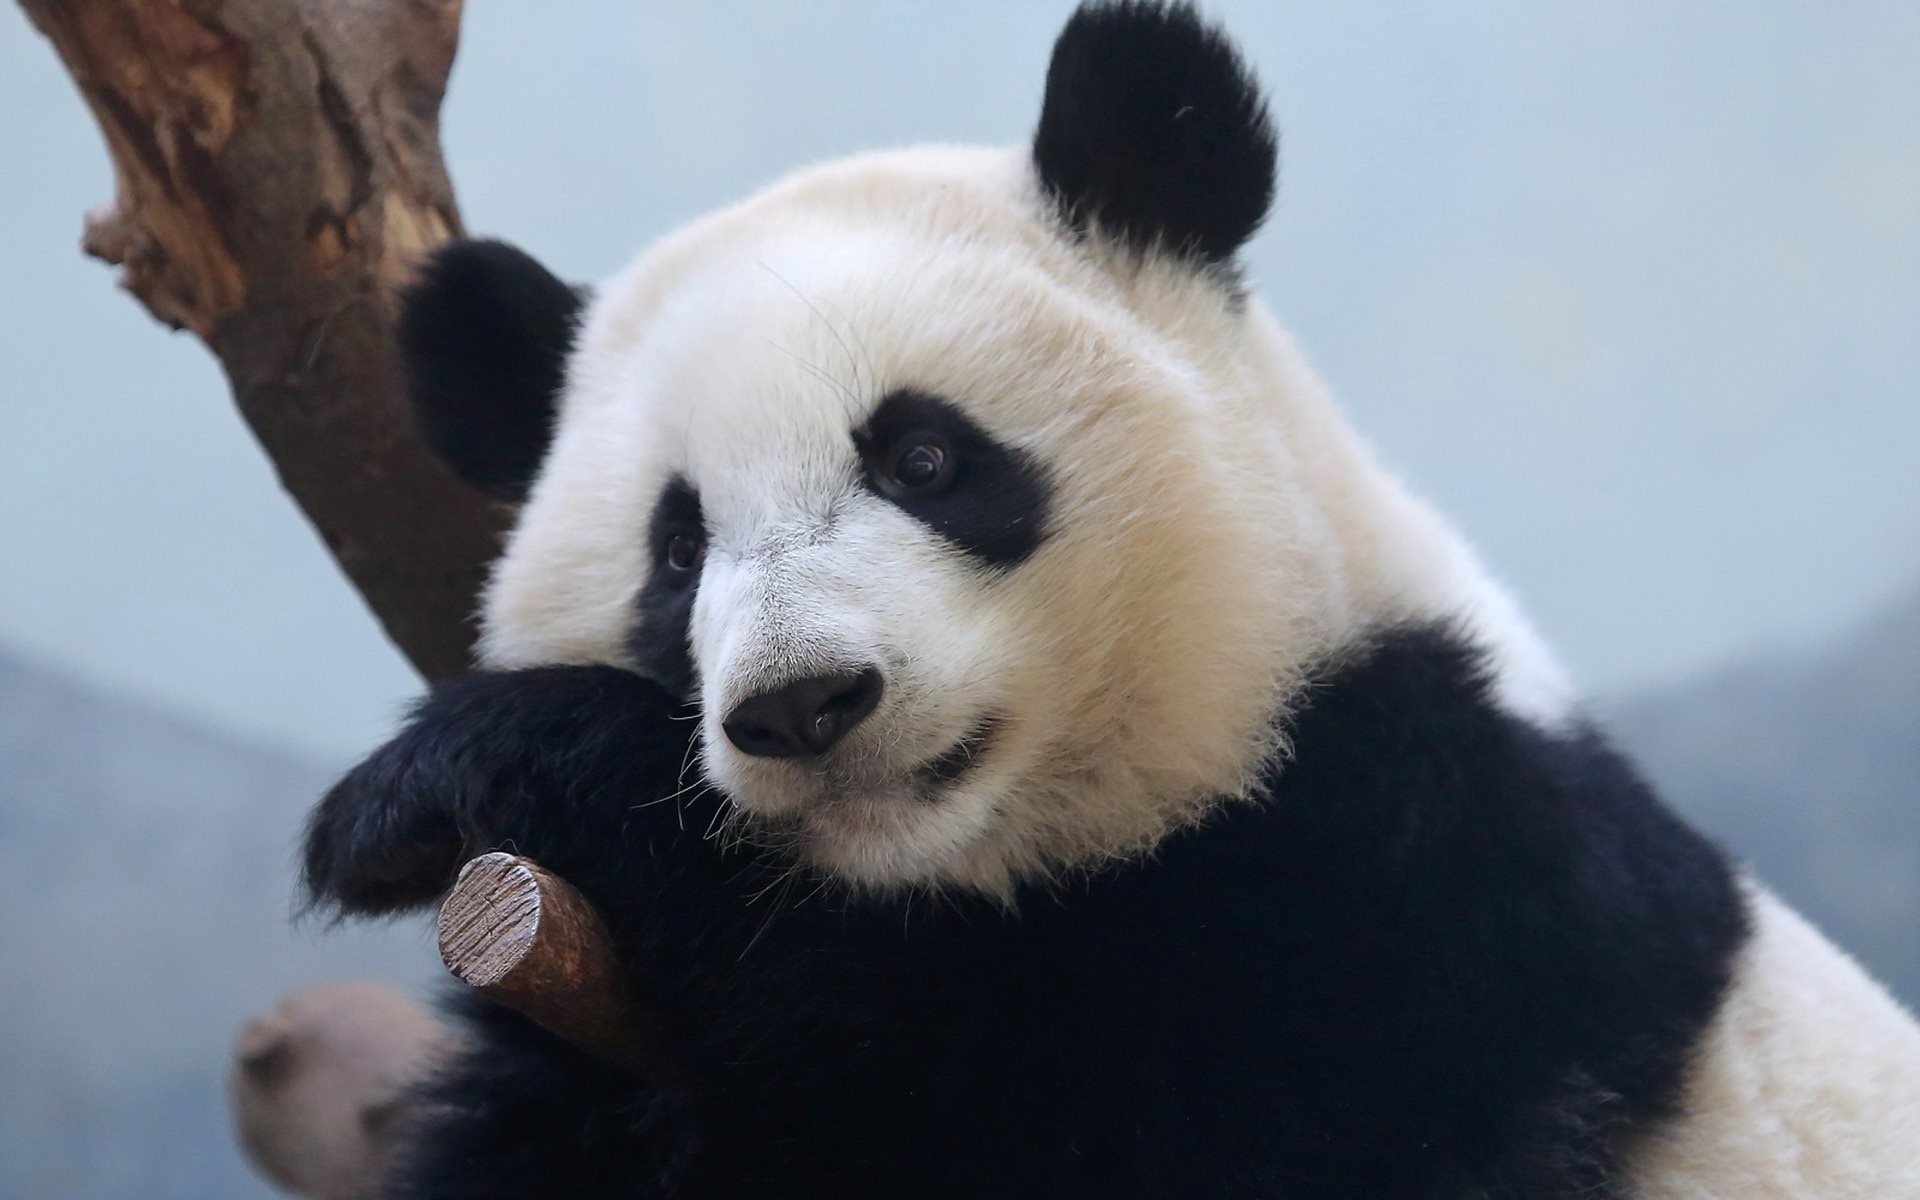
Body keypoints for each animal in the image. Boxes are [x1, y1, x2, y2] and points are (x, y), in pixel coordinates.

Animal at [302, 3, 1920, 1197]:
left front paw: (489, 768)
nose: (807, 705)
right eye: (678, 552)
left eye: (926, 457)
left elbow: (1054, 1094)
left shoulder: (1436, 905)